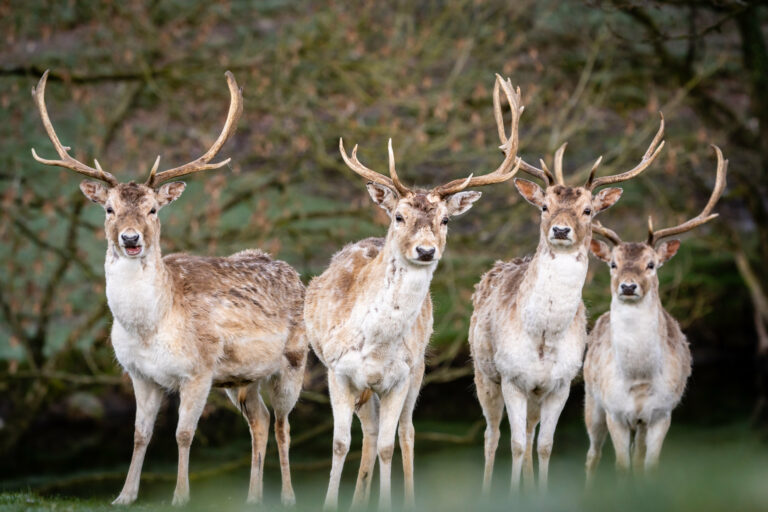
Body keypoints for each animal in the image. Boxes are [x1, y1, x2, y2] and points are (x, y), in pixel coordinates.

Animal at [30, 70, 308, 506]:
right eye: (108, 208)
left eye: (153, 209)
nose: (130, 239)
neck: (150, 327)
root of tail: (293, 271)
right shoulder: (141, 375)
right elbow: (140, 434)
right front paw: (124, 496)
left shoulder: (199, 370)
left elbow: (183, 434)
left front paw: (180, 496)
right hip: (241, 379)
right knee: (260, 421)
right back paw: (252, 498)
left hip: (294, 362)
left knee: (283, 425)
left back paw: (289, 497)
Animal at [303, 82, 523, 510]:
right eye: (399, 216)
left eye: (446, 219)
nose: (425, 250)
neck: (374, 344)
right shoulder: (337, 371)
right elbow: (339, 444)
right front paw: (331, 502)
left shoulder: (399, 377)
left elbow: (390, 445)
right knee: (368, 434)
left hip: (419, 368)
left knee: (402, 433)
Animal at [469, 74, 666, 494]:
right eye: (544, 206)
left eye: (588, 210)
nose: (561, 230)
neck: (543, 335)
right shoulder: (511, 376)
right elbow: (514, 444)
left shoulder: (560, 383)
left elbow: (544, 445)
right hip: (483, 372)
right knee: (493, 435)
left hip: (535, 392)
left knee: (529, 434)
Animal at [584, 146, 727, 482]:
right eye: (613, 263)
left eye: (651, 264)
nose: (627, 286)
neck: (639, 379)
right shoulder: (615, 412)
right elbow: (621, 466)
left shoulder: (662, 413)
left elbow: (648, 467)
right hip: (591, 400)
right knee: (592, 454)